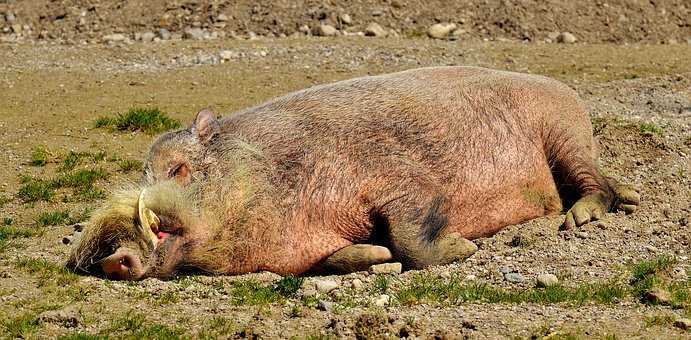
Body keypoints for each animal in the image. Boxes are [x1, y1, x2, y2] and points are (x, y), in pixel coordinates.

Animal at [67, 65, 640, 278]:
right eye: (144, 172)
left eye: (180, 169)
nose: (112, 258)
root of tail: (566, 89)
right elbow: (348, 256)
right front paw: (375, 256)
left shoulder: (402, 180)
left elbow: (412, 235)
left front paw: (465, 249)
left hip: (564, 133)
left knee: (597, 184)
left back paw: (582, 219)